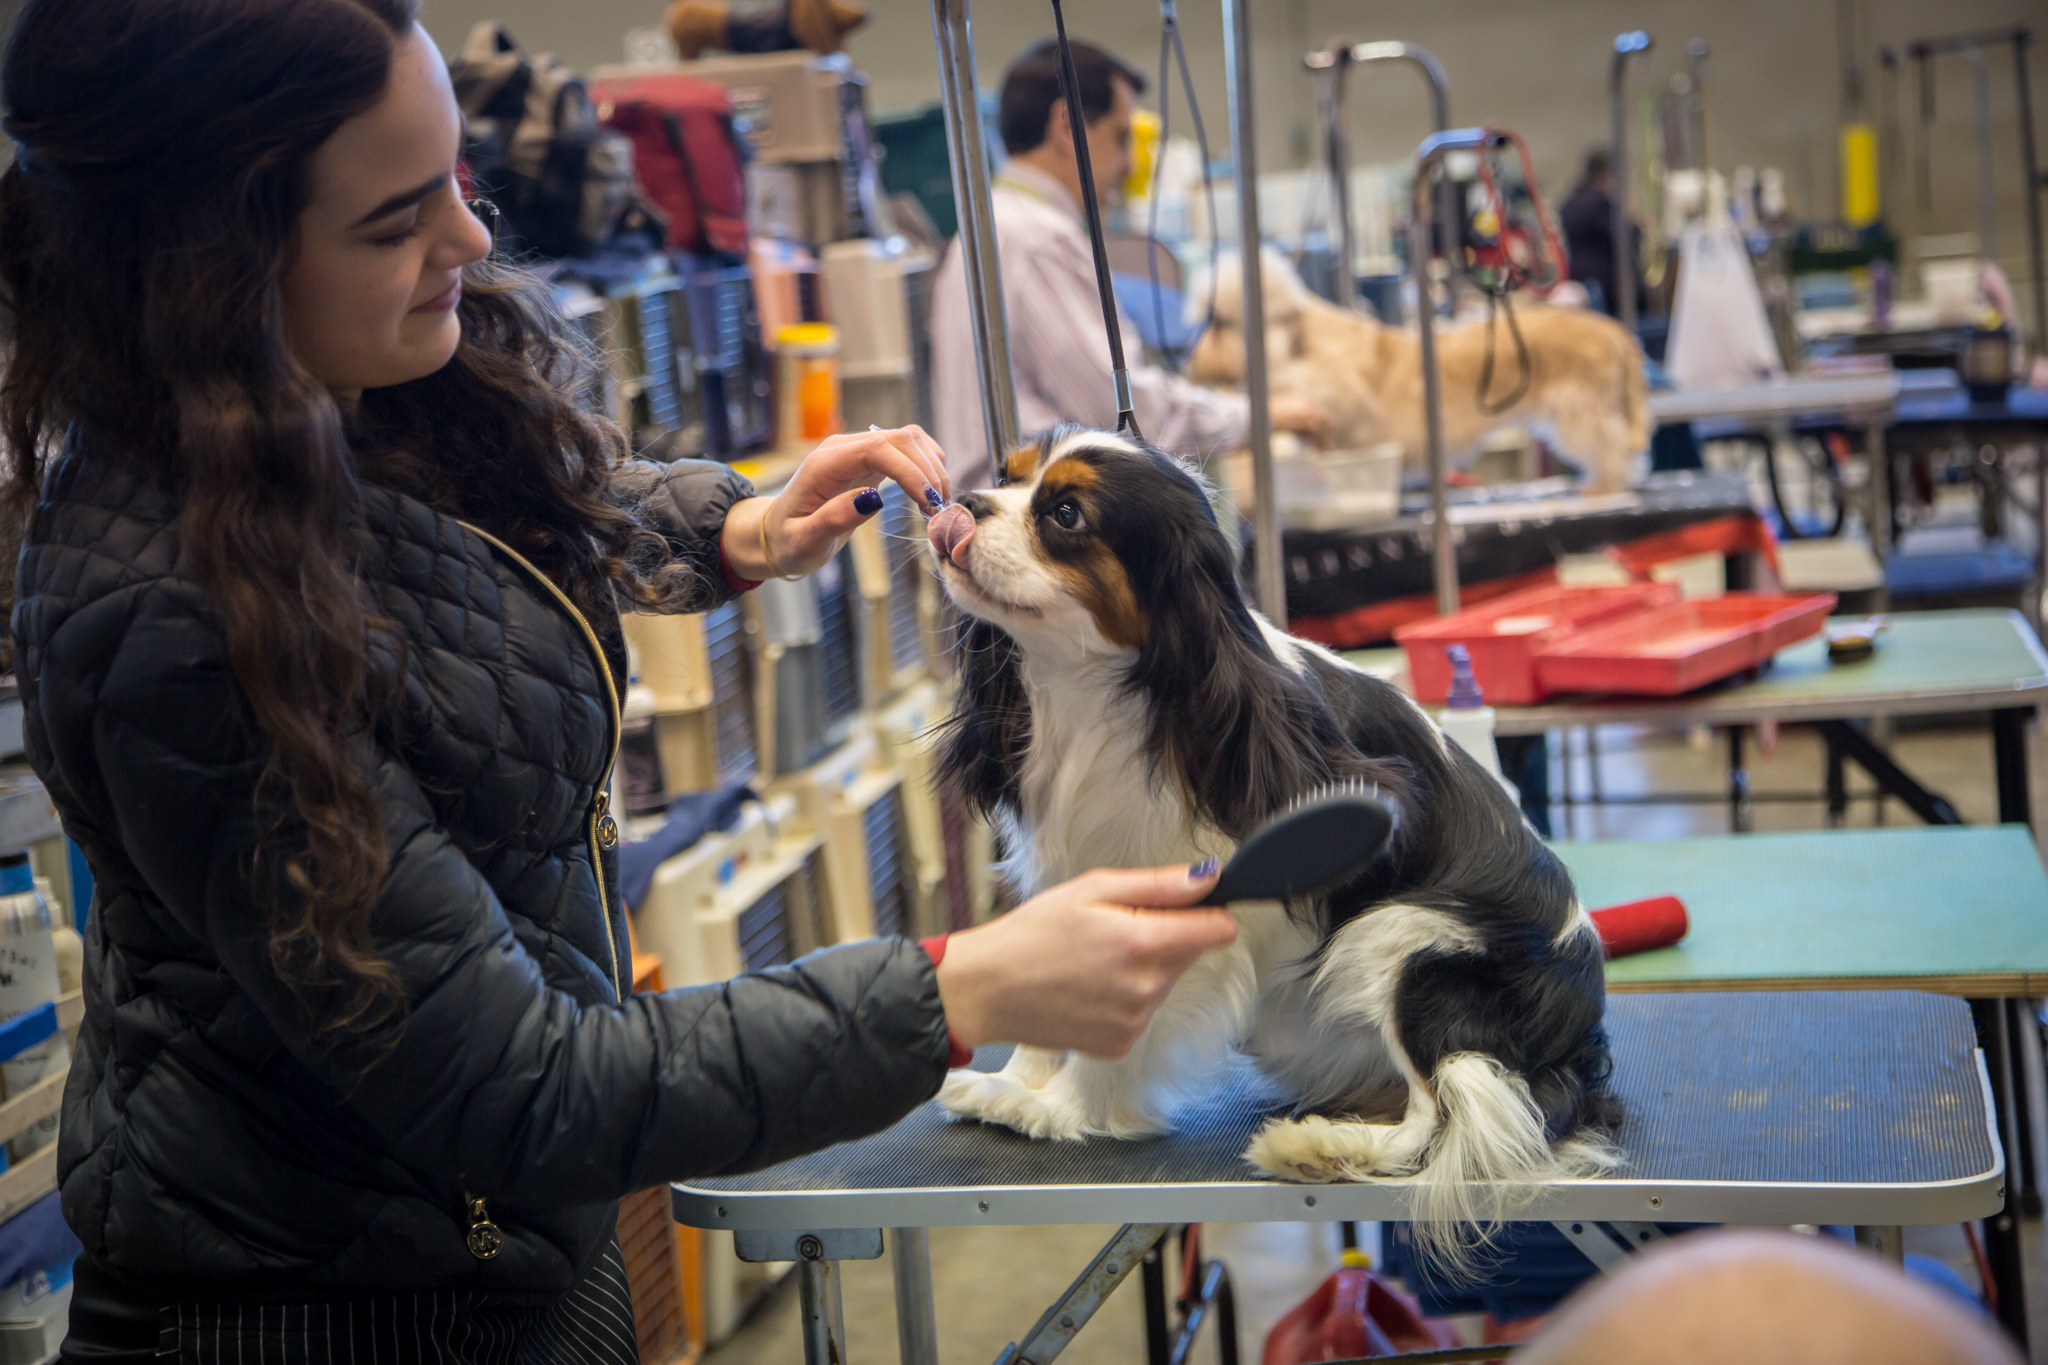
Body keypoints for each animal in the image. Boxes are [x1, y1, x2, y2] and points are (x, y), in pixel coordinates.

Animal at [1196, 252, 1654, 497]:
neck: (1301, 340)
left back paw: (1604, 485)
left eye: (1217, 320)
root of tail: (1616, 332)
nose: (1191, 360)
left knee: (1612, 447)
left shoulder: (1338, 395)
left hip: (1584, 412)